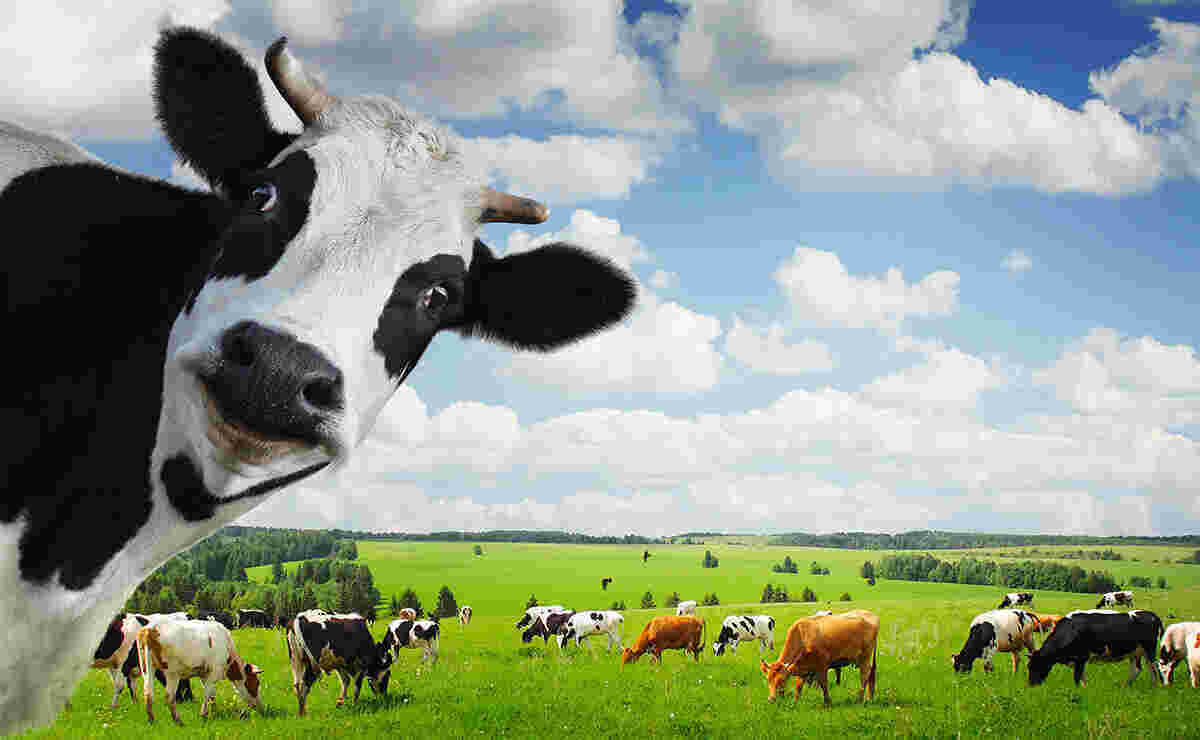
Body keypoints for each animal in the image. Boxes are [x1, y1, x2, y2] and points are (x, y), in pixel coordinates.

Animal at [1028, 609, 1163, 687]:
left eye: (1037, 665)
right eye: (1029, 666)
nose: (1031, 685)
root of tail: (1152, 615)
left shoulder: (1081, 657)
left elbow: (1077, 677)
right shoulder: (1077, 660)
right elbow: (1081, 677)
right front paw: (1084, 688)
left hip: (1149, 648)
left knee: (1154, 667)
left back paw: (1155, 686)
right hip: (1135, 652)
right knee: (1138, 669)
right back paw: (1127, 686)